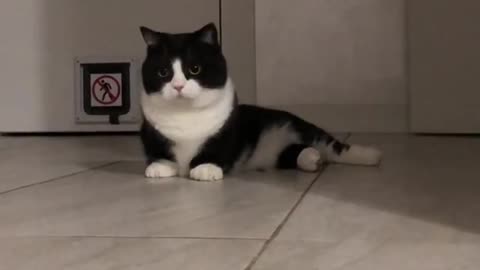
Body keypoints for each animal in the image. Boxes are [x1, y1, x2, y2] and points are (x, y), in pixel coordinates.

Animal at [139, 23, 382, 181]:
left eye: (195, 69)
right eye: (163, 72)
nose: (178, 86)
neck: (185, 114)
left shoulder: (226, 130)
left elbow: (216, 149)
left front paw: (205, 169)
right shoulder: (151, 132)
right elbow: (159, 150)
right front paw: (159, 166)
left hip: (300, 126)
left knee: (332, 145)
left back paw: (371, 156)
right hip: (280, 154)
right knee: (297, 152)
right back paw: (313, 159)